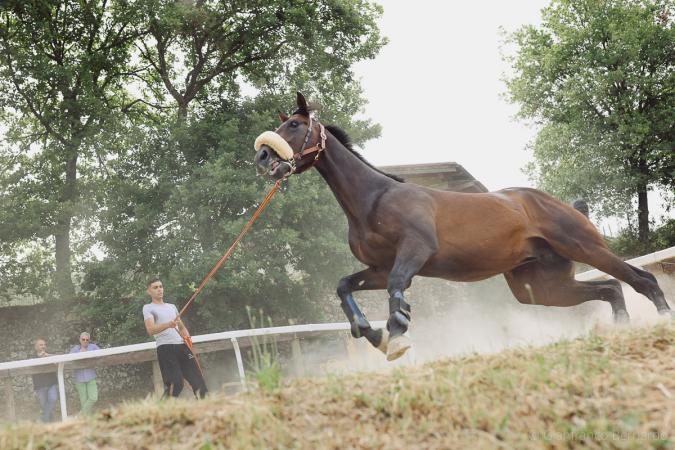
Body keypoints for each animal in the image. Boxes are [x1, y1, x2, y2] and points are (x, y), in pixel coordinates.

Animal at [252, 93, 672, 360]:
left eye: (294, 124)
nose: (263, 157)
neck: (375, 199)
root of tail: (564, 205)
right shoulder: (379, 267)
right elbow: (344, 286)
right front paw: (372, 334)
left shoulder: (414, 253)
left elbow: (396, 289)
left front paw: (397, 331)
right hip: (540, 287)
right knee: (611, 288)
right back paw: (622, 329)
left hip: (586, 248)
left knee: (641, 280)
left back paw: (661, 320)